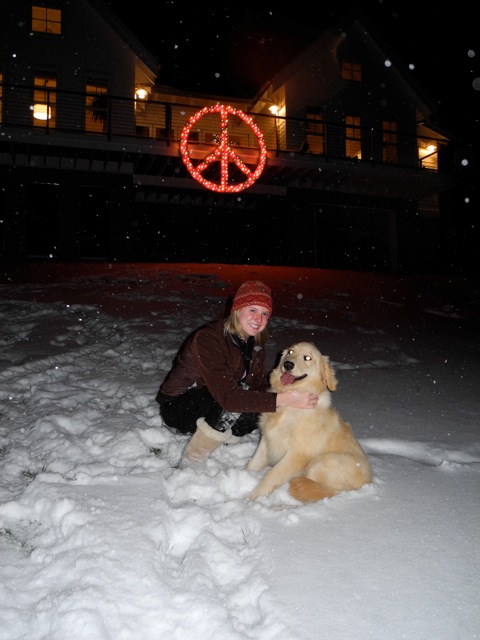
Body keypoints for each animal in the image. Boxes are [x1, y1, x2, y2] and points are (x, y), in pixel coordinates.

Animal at [246, 342, 372, 502]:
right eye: (290, 352)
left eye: (307, 358)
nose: (288, 364)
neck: (289, 405)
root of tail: (369, 481)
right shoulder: (266, 440)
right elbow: (252, 464)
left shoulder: (297, 454)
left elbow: (270, 475)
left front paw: (251, 499)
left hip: (320, 463)